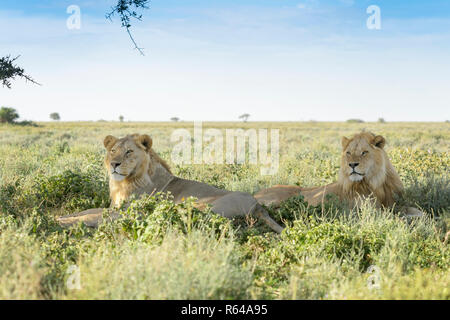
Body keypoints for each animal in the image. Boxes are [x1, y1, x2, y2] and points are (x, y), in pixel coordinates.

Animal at [55, 132, 282, 232]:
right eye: (112, 150)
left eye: (129, 151)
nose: (114, 164)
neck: (123, 183)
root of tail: (257, 204)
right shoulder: (115, 207)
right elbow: (87, 211)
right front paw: (60, 216)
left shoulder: (131, 213)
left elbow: (93, 216)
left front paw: (62, 222)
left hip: (198, 206)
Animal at [256, 131, 422, 216]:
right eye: (348, 153)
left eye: (364, 152)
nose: (352, 165)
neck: (374, 182)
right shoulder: (366, 211)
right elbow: (395, 217)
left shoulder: (394, 202)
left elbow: (418, 211)